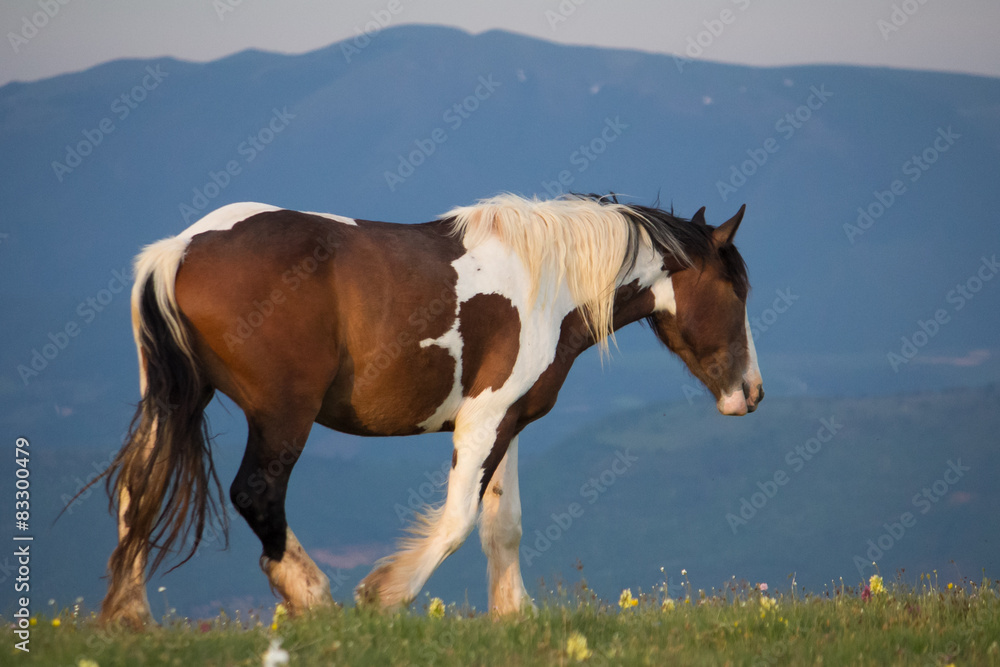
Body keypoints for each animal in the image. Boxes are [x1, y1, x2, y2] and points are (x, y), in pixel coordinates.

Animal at [101, 192, 760, 628]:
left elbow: (503, 524)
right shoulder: (482, 422)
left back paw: (129, 616)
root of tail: (178, 250)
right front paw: (383, 596)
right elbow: (457, 521)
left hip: (177, 400)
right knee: (255, 494)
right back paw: (314, 598)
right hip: (282, 414)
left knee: (141, 488)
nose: (750, 393)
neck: (547, 284)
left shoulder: (509, 422)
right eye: (737, 290)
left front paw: (512, 616)